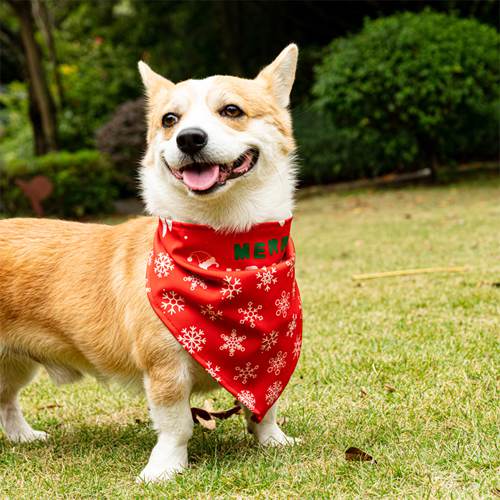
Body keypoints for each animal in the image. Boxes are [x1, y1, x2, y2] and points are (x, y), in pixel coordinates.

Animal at [0, 45, 296, 482]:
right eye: (169, 120)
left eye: (231, 110)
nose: (189, 139)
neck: (224, 250)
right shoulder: (164, 369)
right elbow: (177, 425)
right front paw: (165, 468)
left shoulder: (266, 360)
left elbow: (265, 406)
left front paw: (272, 440)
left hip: (15, 364)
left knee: (7, 402)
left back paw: (23, 436)